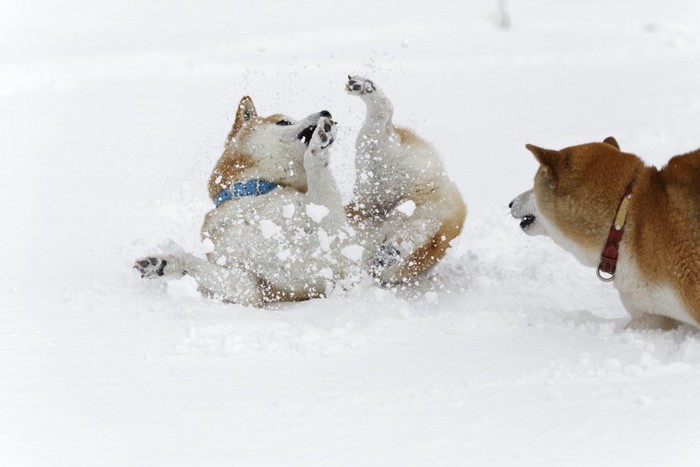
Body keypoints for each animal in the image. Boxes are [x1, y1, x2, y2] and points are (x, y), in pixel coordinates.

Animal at [135, 97, 358, 306]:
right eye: (284, 122)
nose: (327, 112)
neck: (253, 196)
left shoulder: (337, 242)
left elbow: (314, 166)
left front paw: (321, 141)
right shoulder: (252, 286)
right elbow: (194, 262)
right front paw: (162, 263)